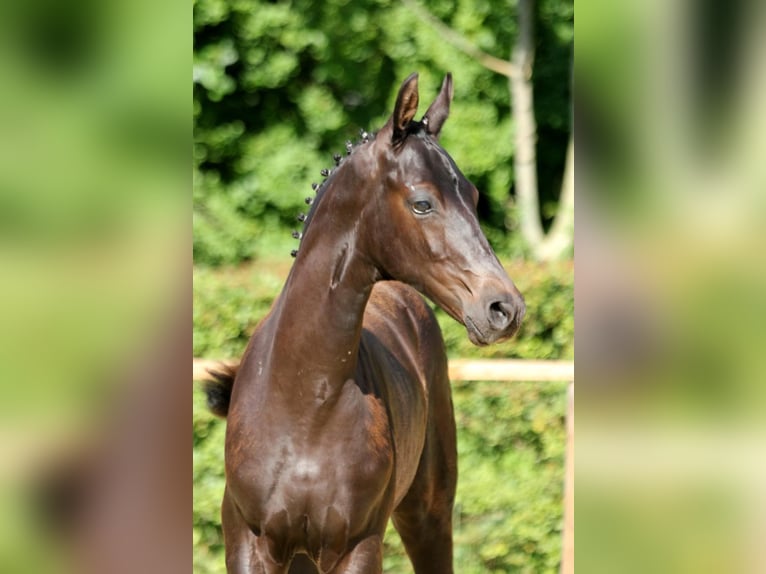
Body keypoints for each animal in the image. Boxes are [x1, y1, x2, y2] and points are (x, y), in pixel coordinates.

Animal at [204, 74, 528, 572]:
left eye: (473, 196)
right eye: (422, 203)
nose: (504, 308)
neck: (305, 401)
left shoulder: (358, 545)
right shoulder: (248, 544)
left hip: (428, 515)